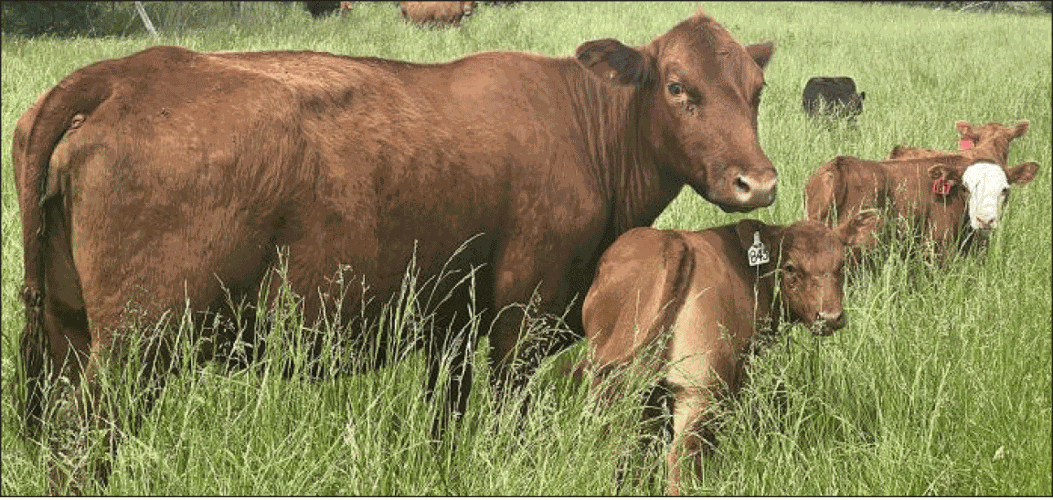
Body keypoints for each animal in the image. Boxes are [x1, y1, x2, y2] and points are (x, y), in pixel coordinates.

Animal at [13, 10, 777, 492]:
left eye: (756, 90)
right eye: (677, 87)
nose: (759, 181)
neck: (583, 129)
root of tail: (123, 74)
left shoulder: (451, 324)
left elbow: (445, 424)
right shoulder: (521, 322)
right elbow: (507, 424)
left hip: (67, 334)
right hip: (137, 346)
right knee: (87, 446)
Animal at [578, 211, 879, 495]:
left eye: (841, 265)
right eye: (790, 268)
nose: (830, 317)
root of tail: (673, 242)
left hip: (611, 385)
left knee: (615, 445)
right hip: (698, 391)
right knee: (680, 455)